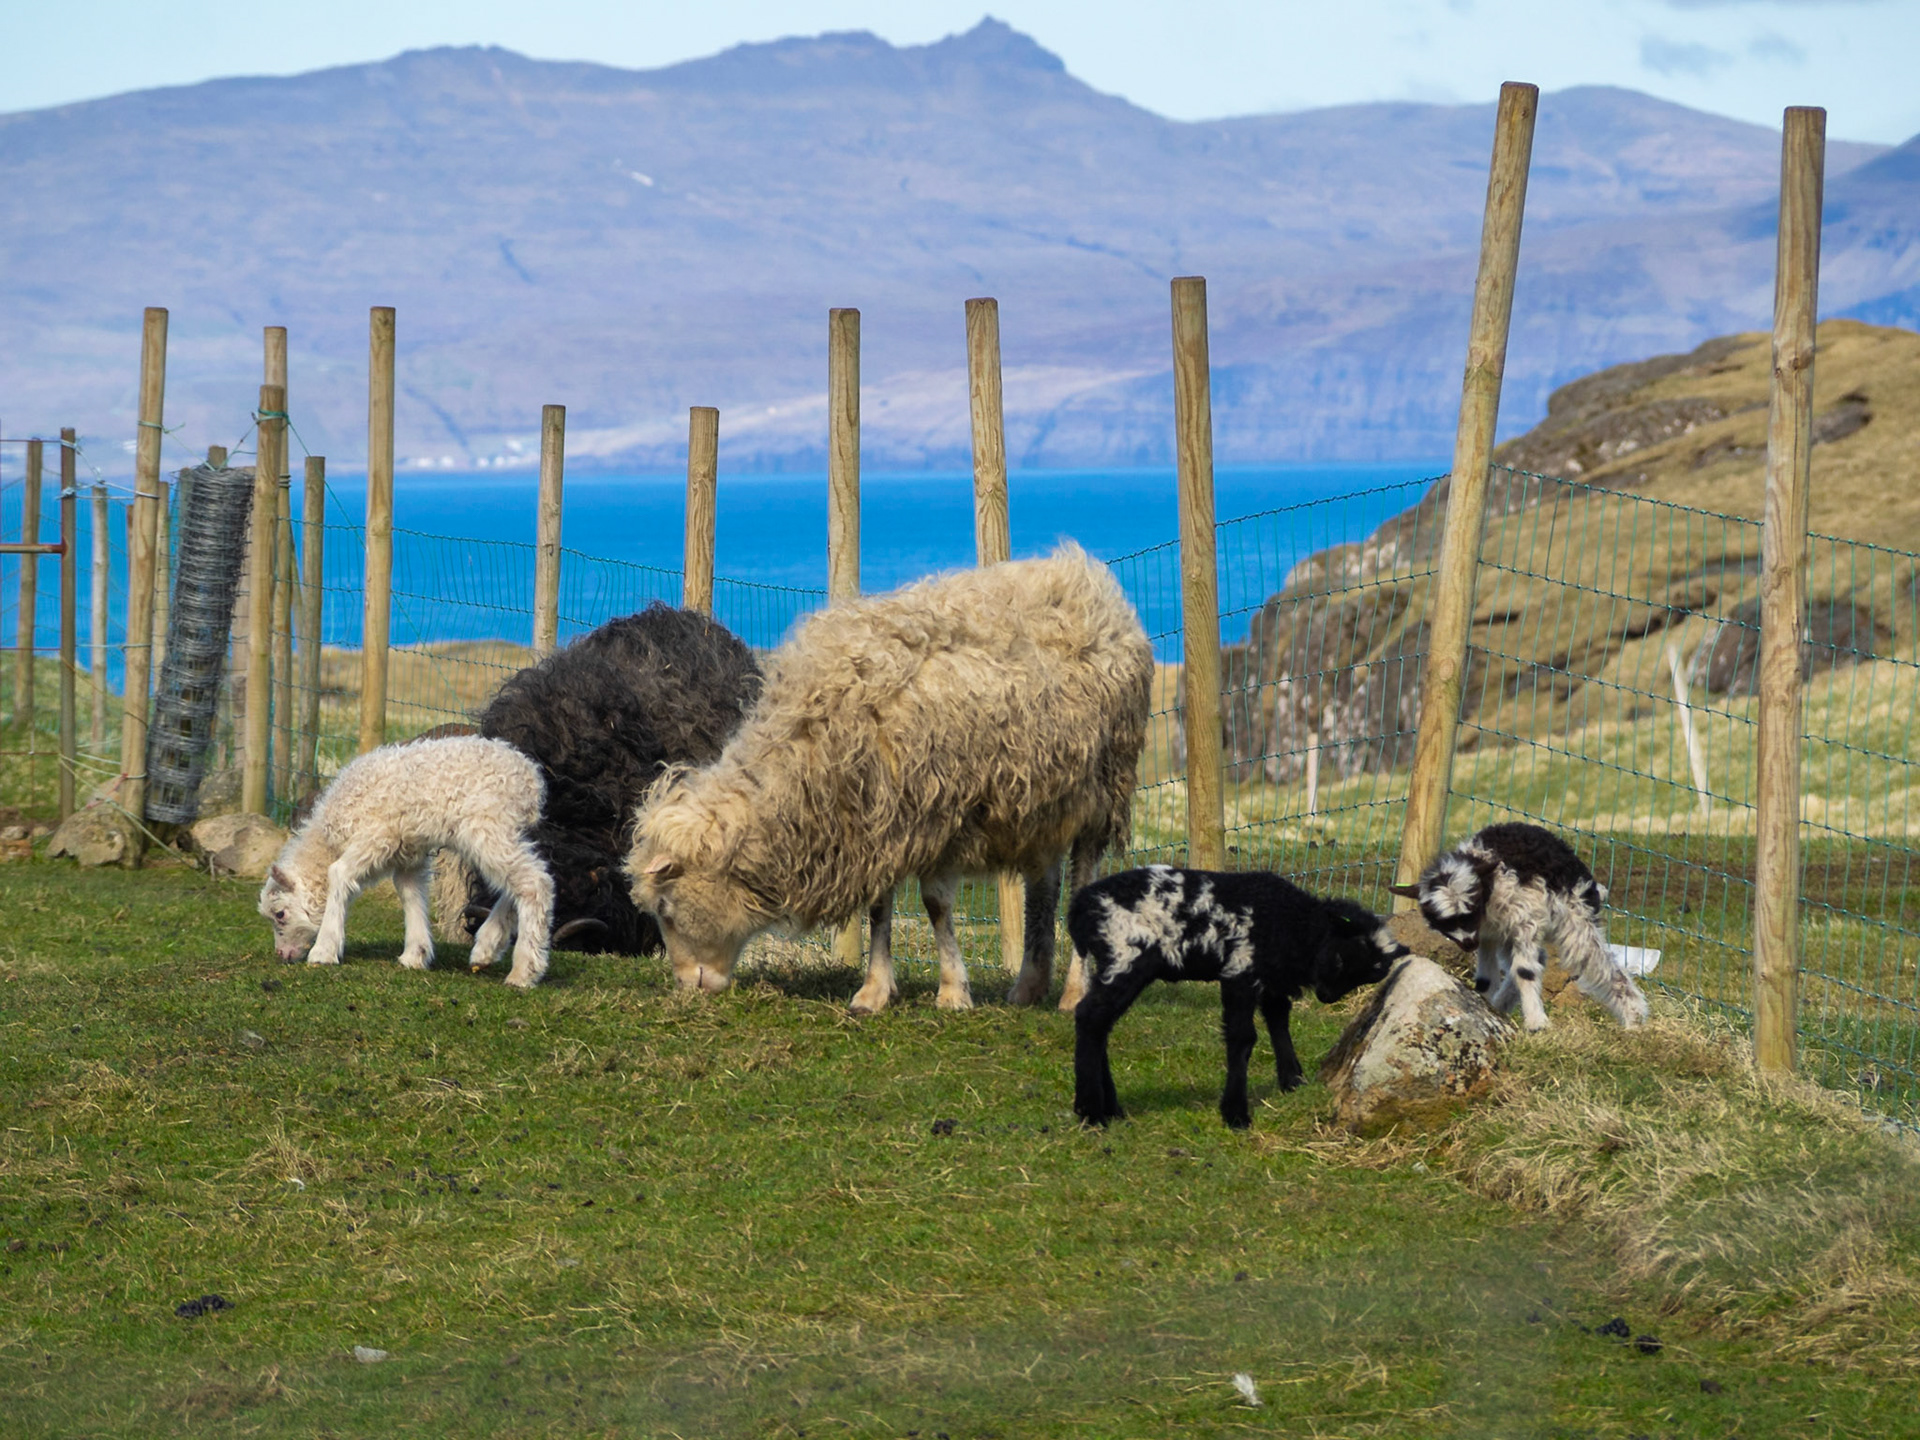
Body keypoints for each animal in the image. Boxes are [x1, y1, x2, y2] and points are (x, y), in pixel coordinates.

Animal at [258, 735, 555, 988]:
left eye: (280, 914)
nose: (282, 954)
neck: (329, 839)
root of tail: (529, 775)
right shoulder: (407, 854)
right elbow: (410, 894)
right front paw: (415, 954)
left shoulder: (376, 837)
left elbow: (338, 874)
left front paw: (324, 950)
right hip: (499, 831)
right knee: (524, 880)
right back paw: (488, 946)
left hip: (486, 826)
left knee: (534, 882)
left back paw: (524, 970)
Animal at [628, 543, 1154, 1013]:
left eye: (667, 910)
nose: (689, 987)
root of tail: (1088, 578)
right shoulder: (878, 825)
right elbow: (879, 908)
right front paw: (874, 992)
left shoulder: (940, 814)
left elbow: (935, 905)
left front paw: (952, 993)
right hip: (1042, 800)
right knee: (1043, 885)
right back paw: (1029, 984)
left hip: (1103, 791)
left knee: (1081, 879)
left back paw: (1072, 993)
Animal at [1068, 865, 1407, 1129]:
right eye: (1340, 958)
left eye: (1369, 977)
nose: (1326, 997)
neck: (1295, 925)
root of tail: (1081, 907)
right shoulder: (1240, 970)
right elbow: (1243, 1037)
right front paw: (1235, 1113)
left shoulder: (1271, 981)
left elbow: (1279, 1022)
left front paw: (1293, 1081)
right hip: (1126, 957)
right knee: (1090, 1017)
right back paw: (1091, 1112)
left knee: (1099, 1023)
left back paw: (1111, 1109)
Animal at [1389, 821, 1647, 1031]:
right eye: (1441, 919)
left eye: (1472, 907)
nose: (1468, 944)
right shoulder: (1489, 934)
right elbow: (1487, 978)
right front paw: (1487, 1009)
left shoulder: (1525, 920)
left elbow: (1524, 971)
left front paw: (1537, 1024)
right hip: (1510, 935)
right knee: (1537, 959)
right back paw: (1501, 1005)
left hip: (1575, 918)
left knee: (1601, 965)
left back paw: (1634, 1020)